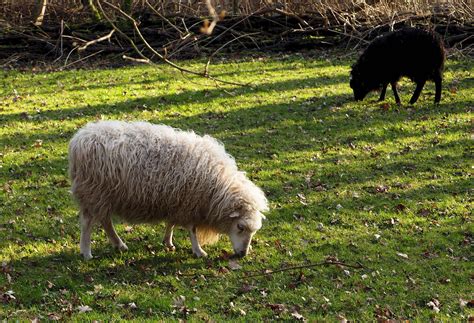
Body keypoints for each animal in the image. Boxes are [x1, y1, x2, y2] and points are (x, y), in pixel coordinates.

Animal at [69, 121, 270, 260]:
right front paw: (198, 251)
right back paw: (86, 252)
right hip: (93, 192)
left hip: (102, 196)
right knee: (88, 223)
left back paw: (119, 245)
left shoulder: (177, 200)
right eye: (240, 227)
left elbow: (171, 223)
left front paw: (168, 242)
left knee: (105, 221)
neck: (218, 186)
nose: (242, 254)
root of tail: (79, 139)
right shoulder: (190, 203)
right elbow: (192, 230)